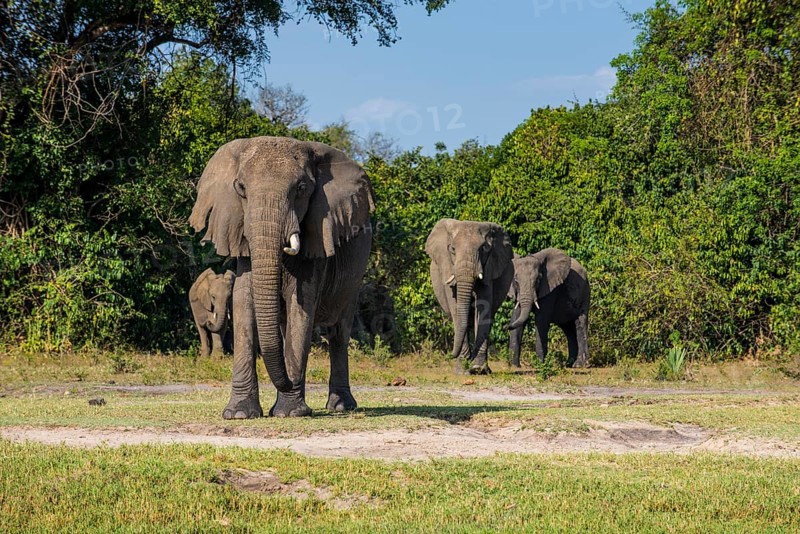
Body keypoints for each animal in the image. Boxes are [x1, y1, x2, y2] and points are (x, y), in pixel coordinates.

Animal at [189, 136, 375, 419]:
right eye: (241, 188)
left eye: (301, 188)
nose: (288, 380)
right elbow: (244, 304)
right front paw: (239, 414)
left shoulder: (318, 236)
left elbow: (302, 307)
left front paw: (289, 413)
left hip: (356, 273)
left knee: (339, 332)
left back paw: (341, 406)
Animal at [425, 219, 514, 374]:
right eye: (452, 249)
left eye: (484, 248)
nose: (450, 355)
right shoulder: (448, 268)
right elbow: (456, 308)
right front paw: (461, 371)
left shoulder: (489, 268)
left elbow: (483, 308)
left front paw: (478, 368)